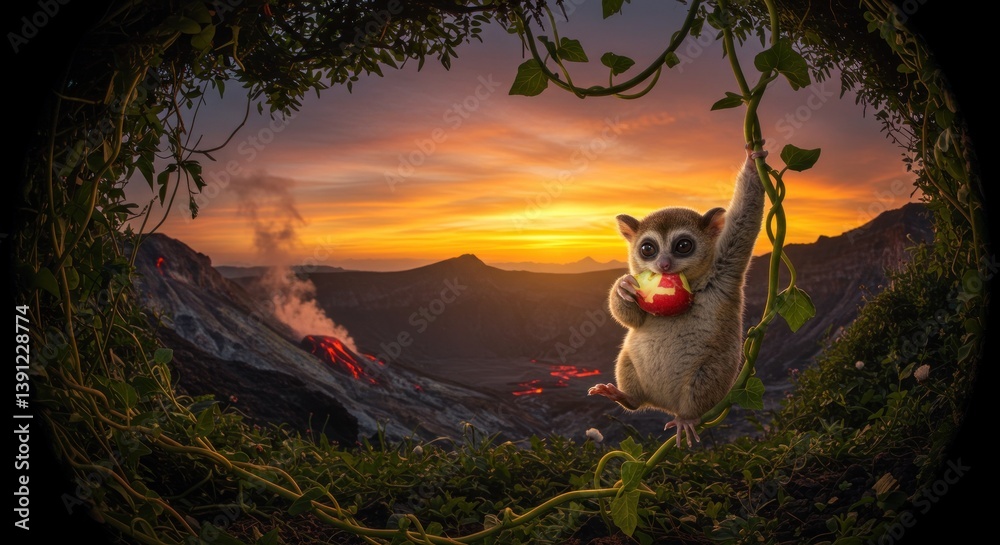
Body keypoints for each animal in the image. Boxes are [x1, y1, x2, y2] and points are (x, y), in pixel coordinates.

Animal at [588, 142, 767, 447]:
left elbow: (745, 220)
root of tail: (665, 406)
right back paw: (624, 397)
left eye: (683, 245)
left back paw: (687, 420)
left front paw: (753, 165)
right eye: (647, 249)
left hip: (712, 379)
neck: (693, 283)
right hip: (633, 366)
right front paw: (624, 288)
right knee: (629, 370)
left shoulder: (726, 268)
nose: (663, 265)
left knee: (701, 386)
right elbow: (633, 321)